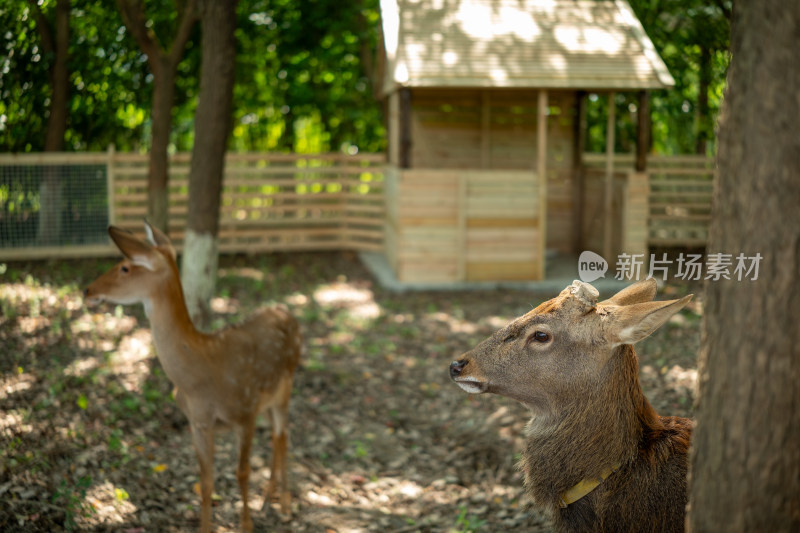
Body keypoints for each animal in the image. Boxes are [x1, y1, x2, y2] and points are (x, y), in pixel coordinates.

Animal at [83, 221, 304, 532]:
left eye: (125, 267)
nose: (87, 290)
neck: (201, 373)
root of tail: (287, 312)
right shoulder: (198, 422)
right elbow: (206, 481)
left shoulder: (244, 412)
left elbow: (242, 472)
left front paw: (246, 525)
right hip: (268, 399)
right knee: (276, 435)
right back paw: (267, 499)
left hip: (286, 385)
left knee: (283, 434)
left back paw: (284, 506)